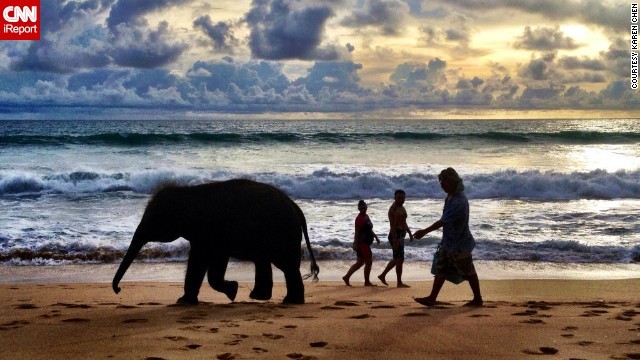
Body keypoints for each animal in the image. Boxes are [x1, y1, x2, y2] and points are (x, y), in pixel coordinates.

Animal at [112, 179, 320, 306]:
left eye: (153, 220)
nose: (118, 289)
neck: (189, 193)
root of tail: (296, 207)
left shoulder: (210, 231)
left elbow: (203, 262)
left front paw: (184, 301)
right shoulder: (208, 236)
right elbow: (209, 262)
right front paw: (231, 290)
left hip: (283, 234)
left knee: (285, 266)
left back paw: (287, 301)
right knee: (269, 262)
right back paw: (267, 298)